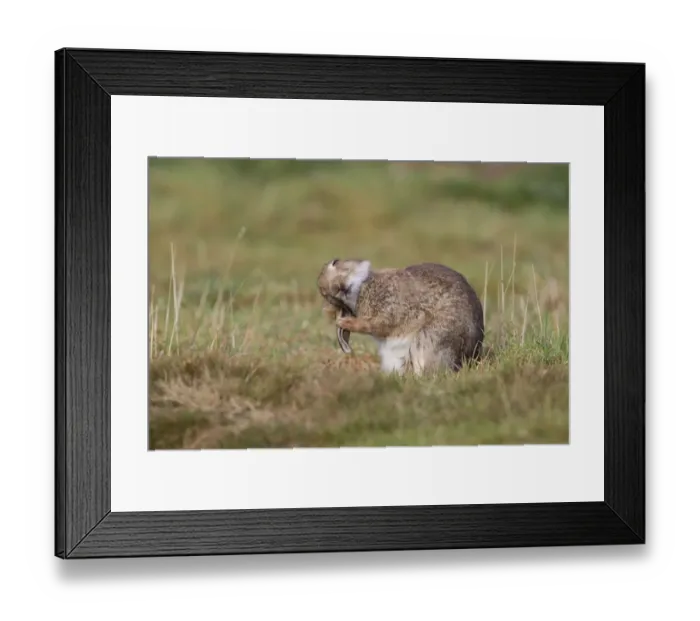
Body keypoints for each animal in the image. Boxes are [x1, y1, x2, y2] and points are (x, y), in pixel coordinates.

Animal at [317, 258, 485, 375]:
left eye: (336, 262)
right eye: (325, 294)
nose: (338, 288)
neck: (362, 287)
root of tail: (470, 356)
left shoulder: (390, 310)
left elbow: (377, 325)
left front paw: (344, 322)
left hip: (429, 339)